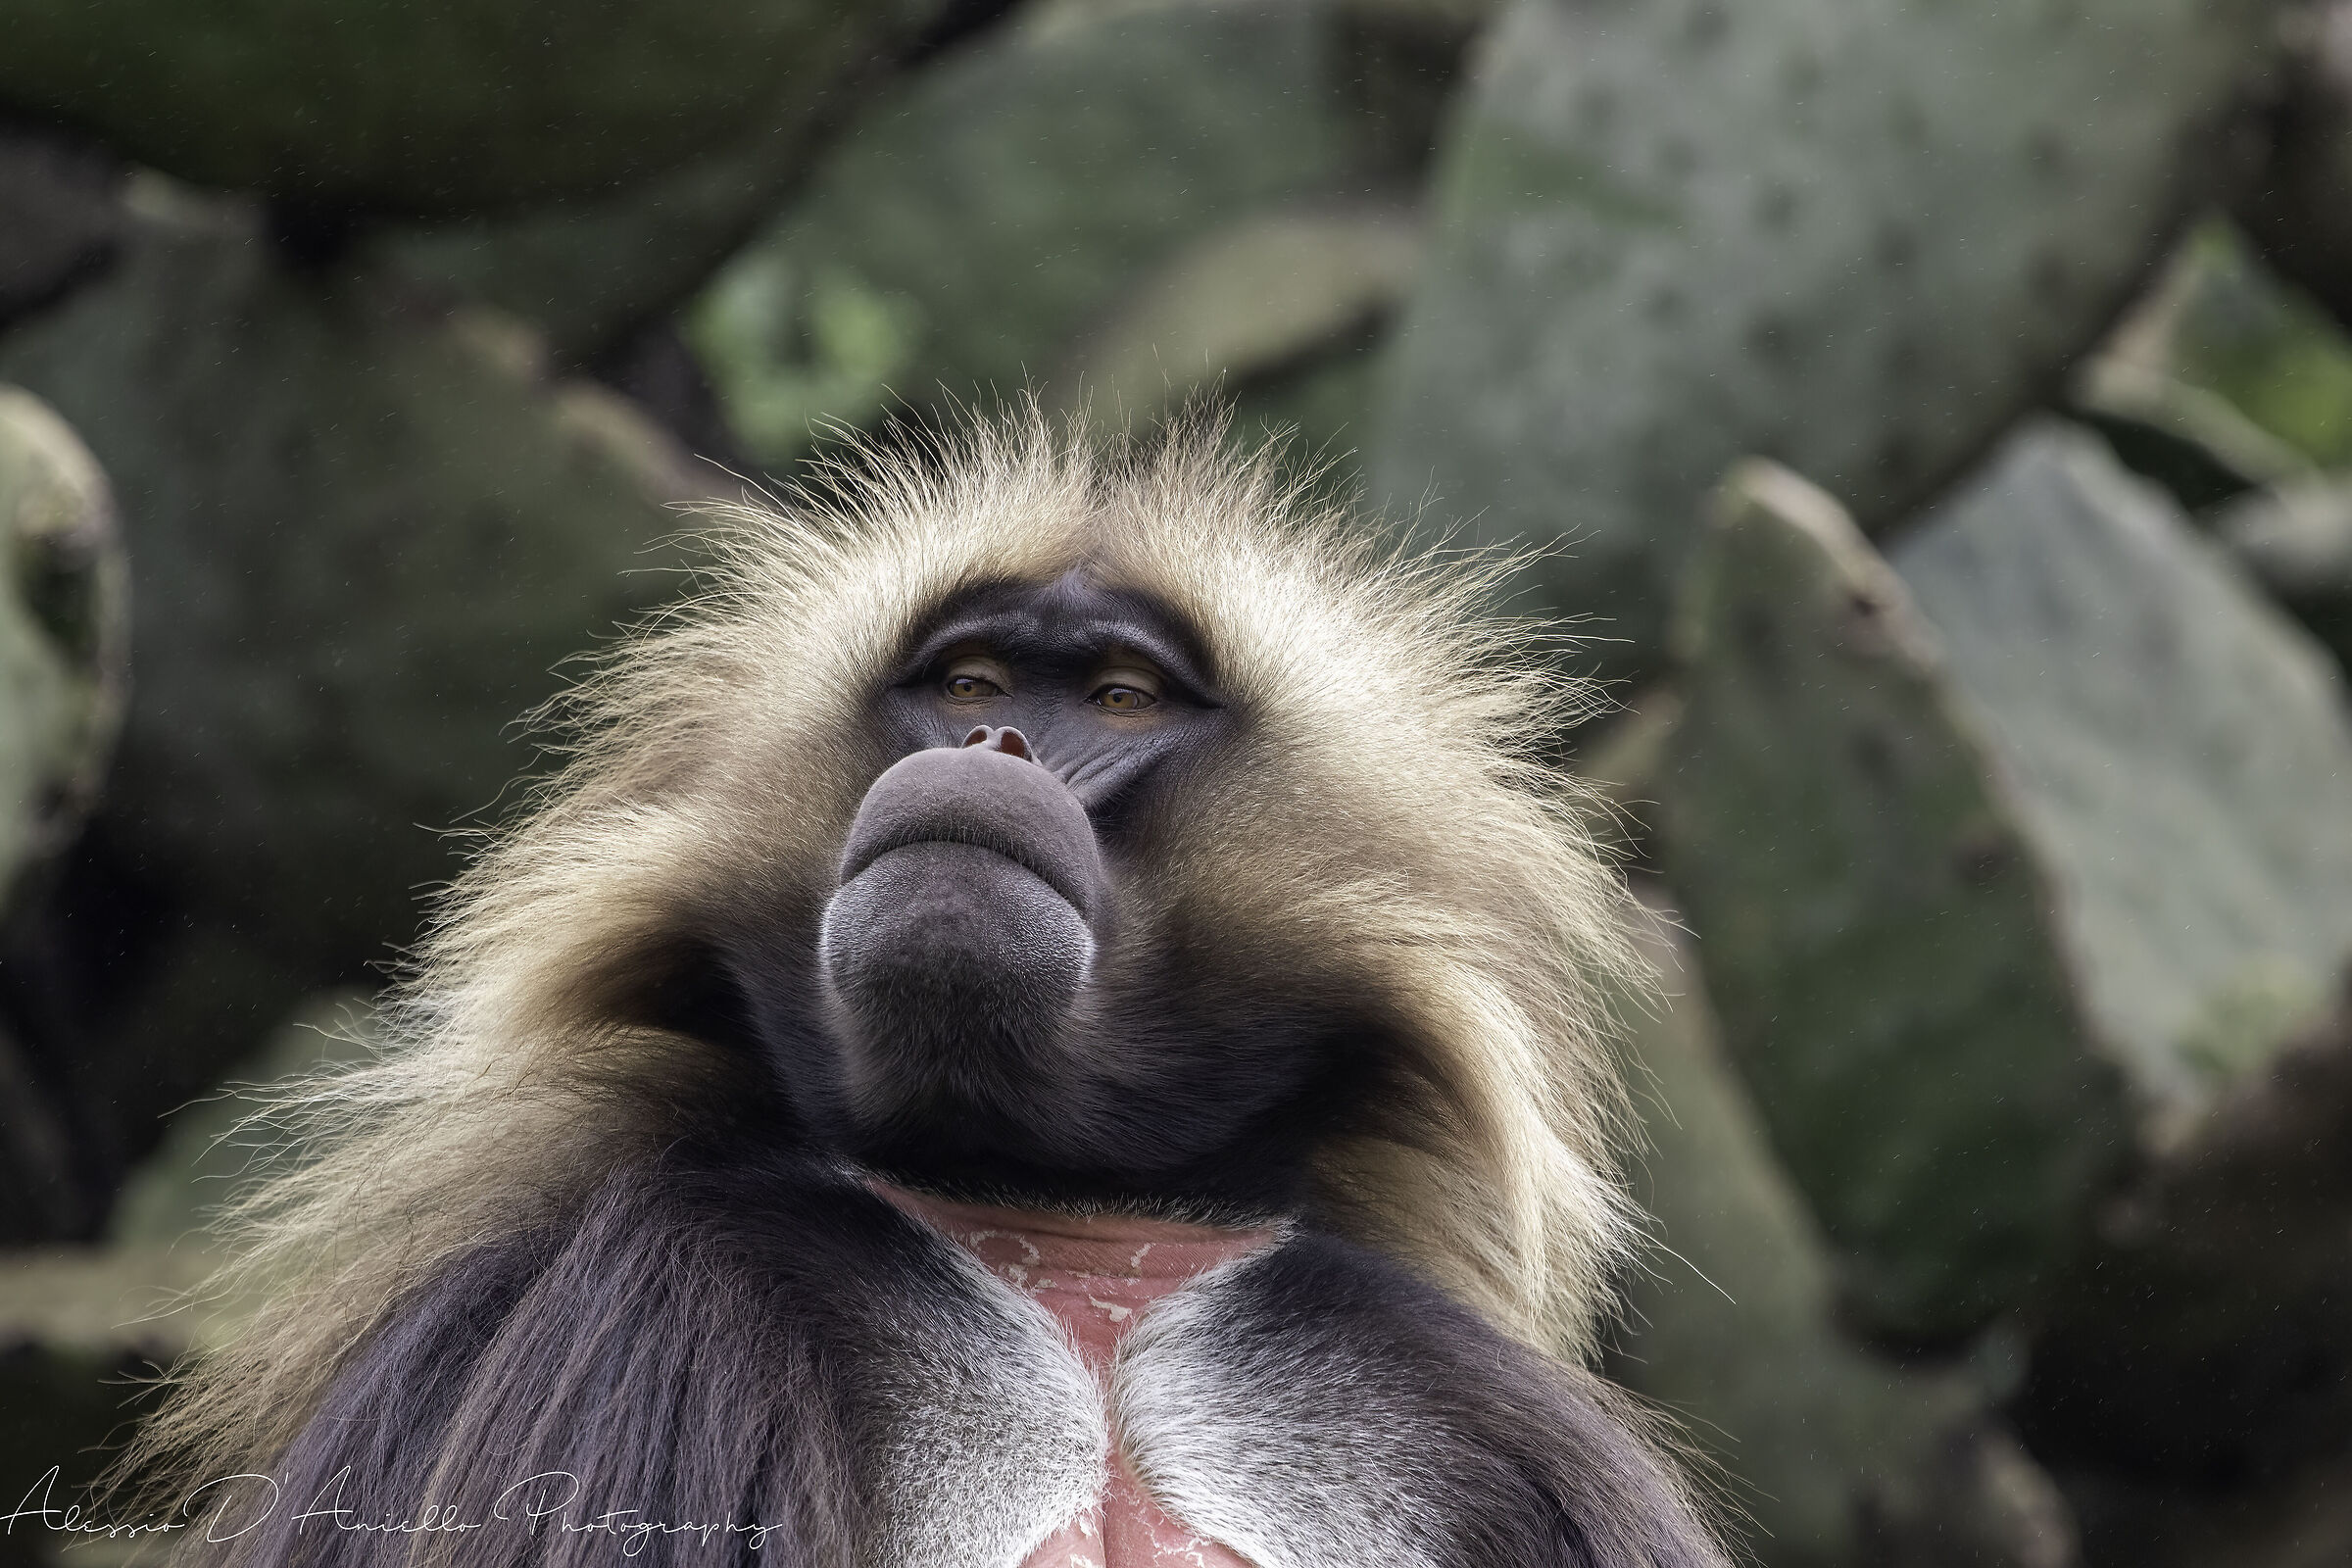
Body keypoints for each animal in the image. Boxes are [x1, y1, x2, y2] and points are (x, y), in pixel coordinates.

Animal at [123, 413, 1728, 1568]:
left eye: (1121, 700)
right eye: (968, 683)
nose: (991, 749)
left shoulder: (1467, 1407)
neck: (1068, 1238)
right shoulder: (631, 1312)